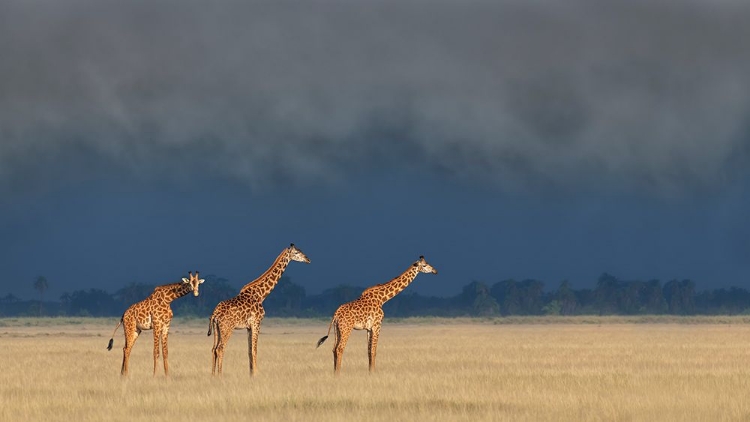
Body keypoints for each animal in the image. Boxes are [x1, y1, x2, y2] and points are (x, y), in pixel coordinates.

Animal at [207, 244, 310, 376]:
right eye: (297, 252)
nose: (308, 259)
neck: (261, 295)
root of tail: (214, 314)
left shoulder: (248, 326)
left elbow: (249, 351)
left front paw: (251, 374)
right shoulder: (257, 322)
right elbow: (254, 350)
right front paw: (256, 374)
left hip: (217, 329)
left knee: (213, 349)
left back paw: (213, 375)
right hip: (227, 328)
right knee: (220, 348)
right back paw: (220, 375)